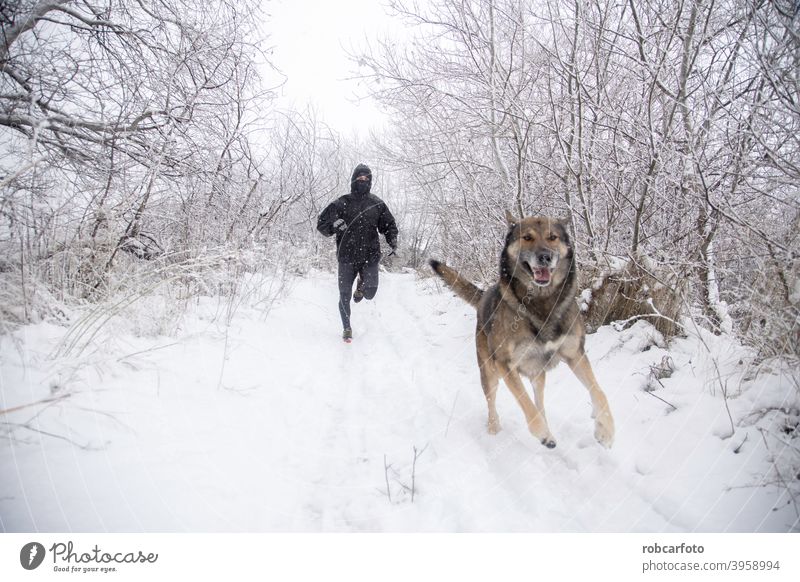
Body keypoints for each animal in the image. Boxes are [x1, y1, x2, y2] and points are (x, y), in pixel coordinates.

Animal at [432, 214, 612, 452]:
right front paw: (543, 434)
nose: (545, 257)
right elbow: (526, 405)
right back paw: (495, 429)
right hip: (489, 372)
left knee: (539, 401)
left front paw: (605, 430)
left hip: (538, 373)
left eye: (552, 237)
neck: (541, 302)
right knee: (493, 401)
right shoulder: (505, 364)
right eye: (527, 237)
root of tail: (485, 294)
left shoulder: (576, 354)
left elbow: (599, 392)